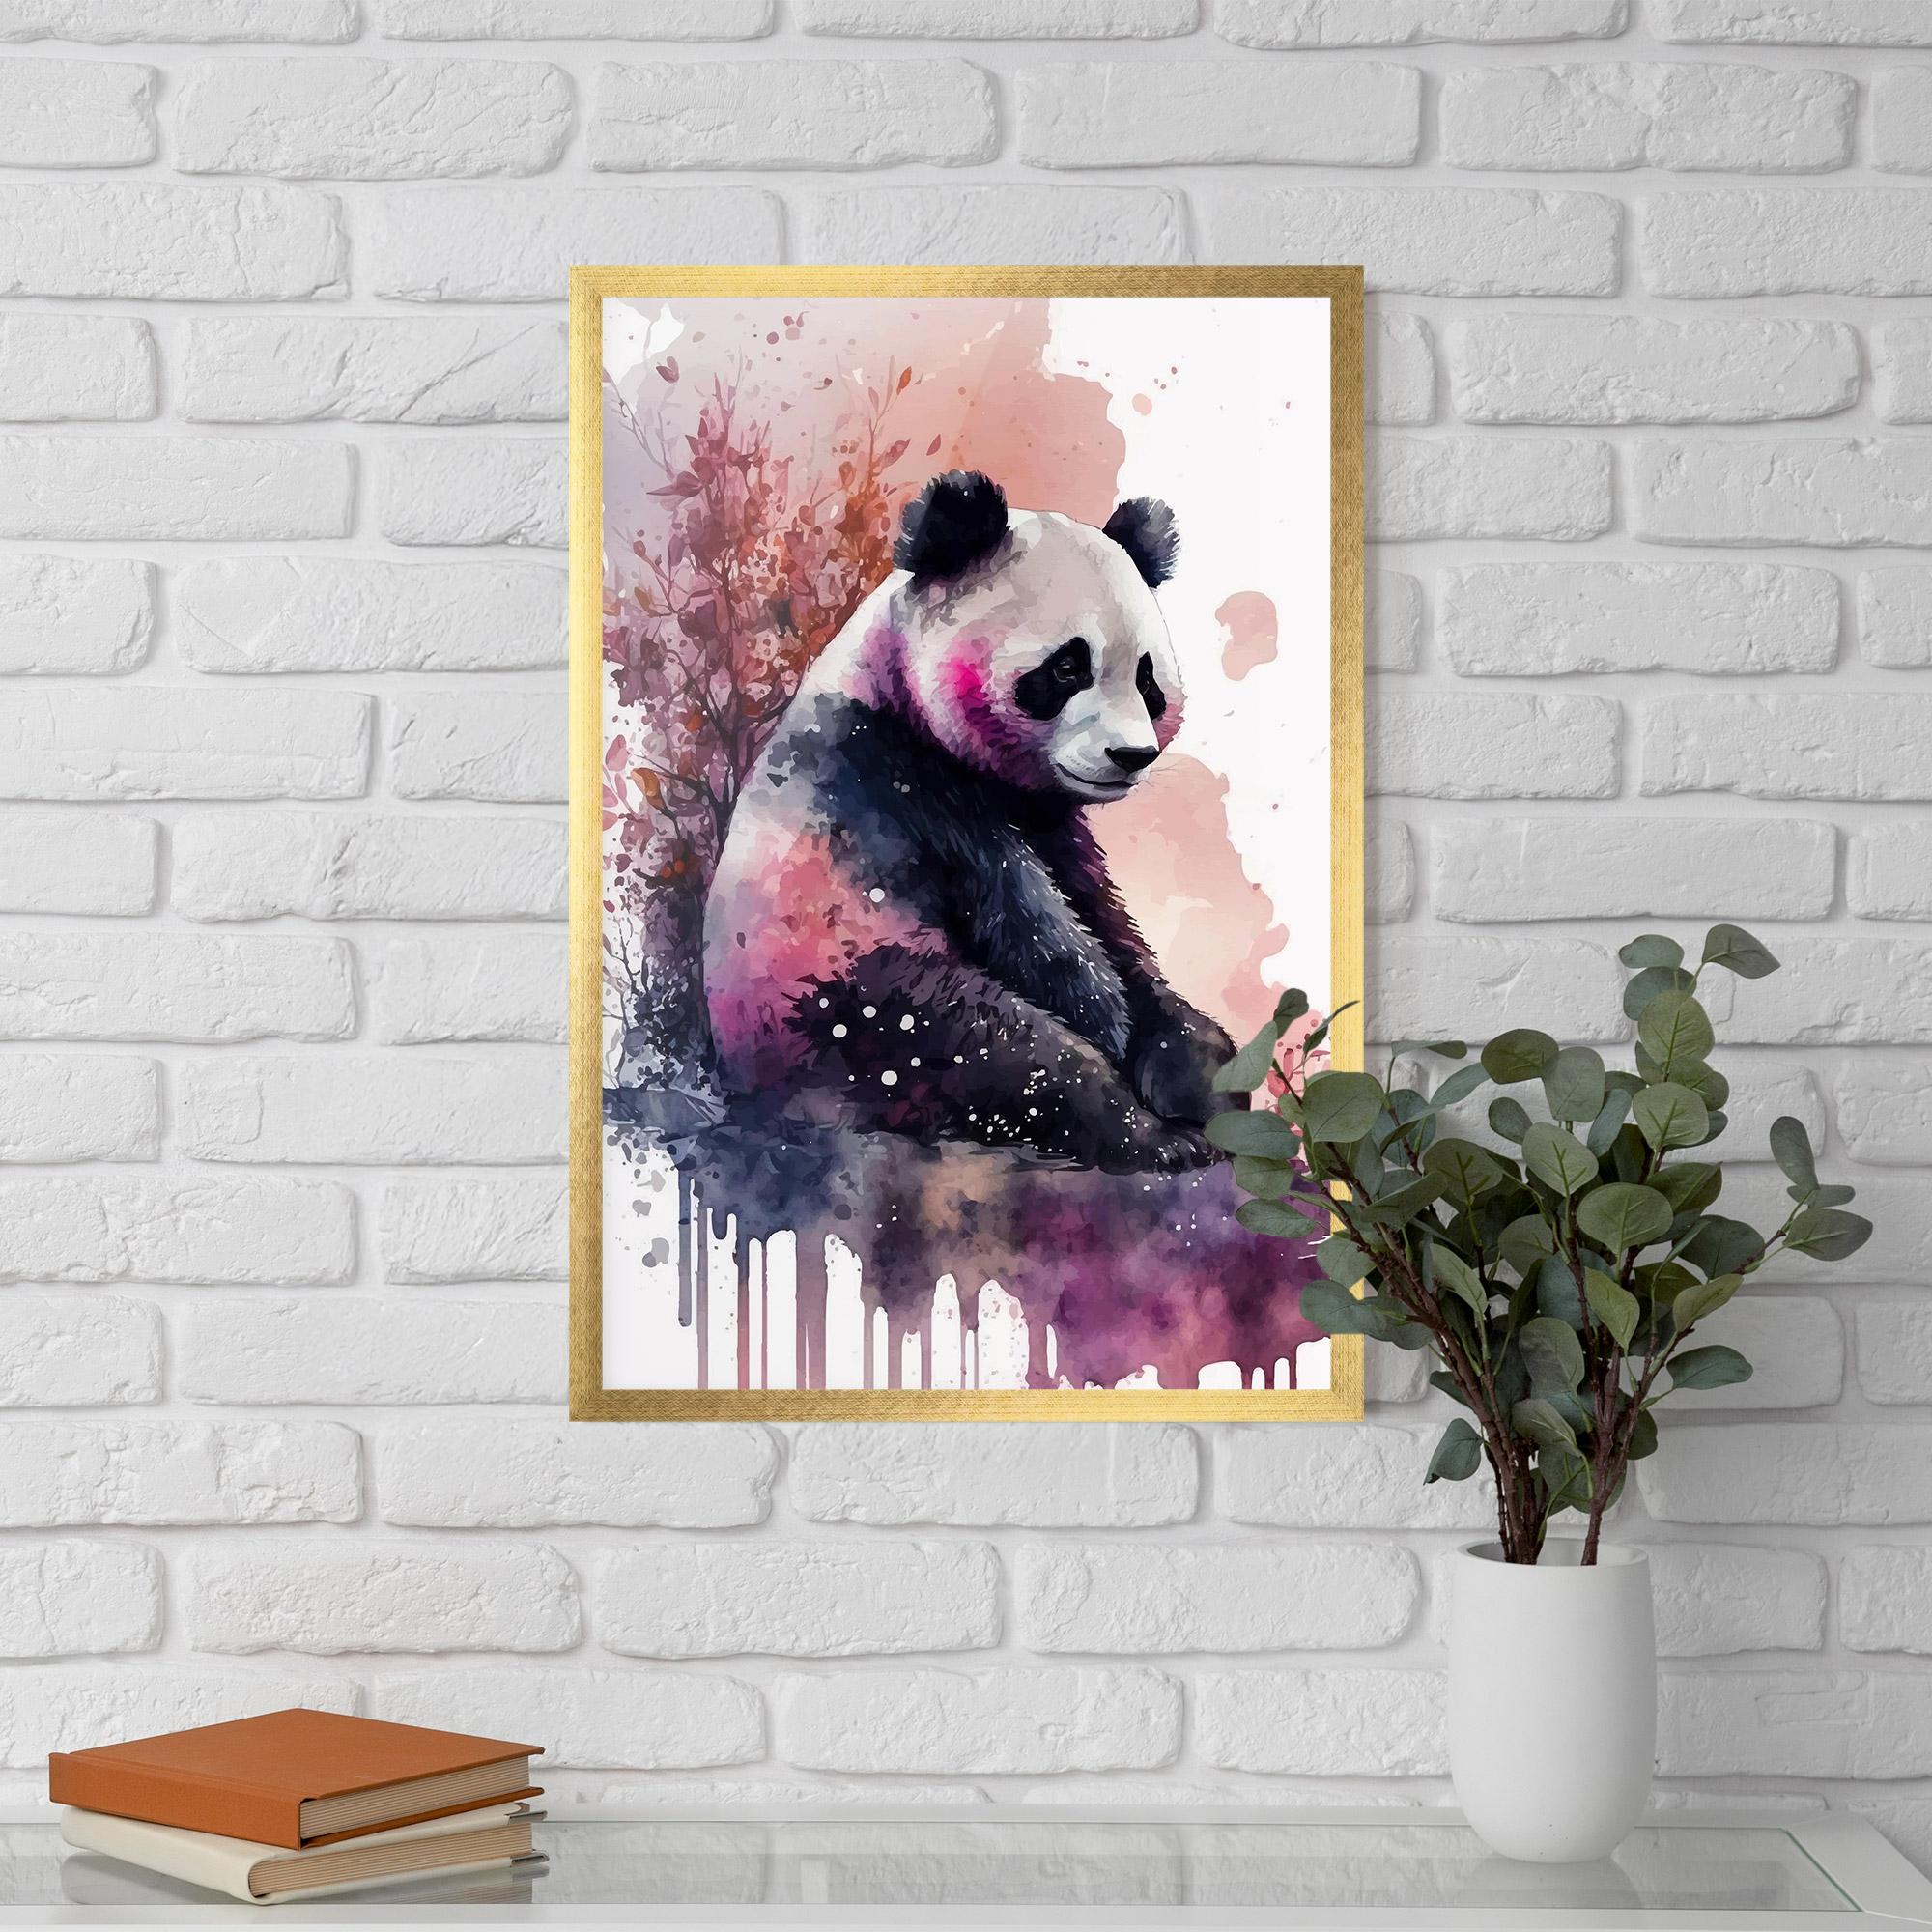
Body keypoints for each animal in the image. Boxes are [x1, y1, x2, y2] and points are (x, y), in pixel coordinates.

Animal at [701, 469, 1243, 1174]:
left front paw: (1193, 1065)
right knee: (1005, 1053)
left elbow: (1112, 927)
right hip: (843, 1000)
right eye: (1067, 667)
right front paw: (1118, 1034)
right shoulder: (901, 786)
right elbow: (1035, 932)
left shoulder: (1053, 823)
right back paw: (1150, 1138)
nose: (1131, 755)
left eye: (1148, 678)